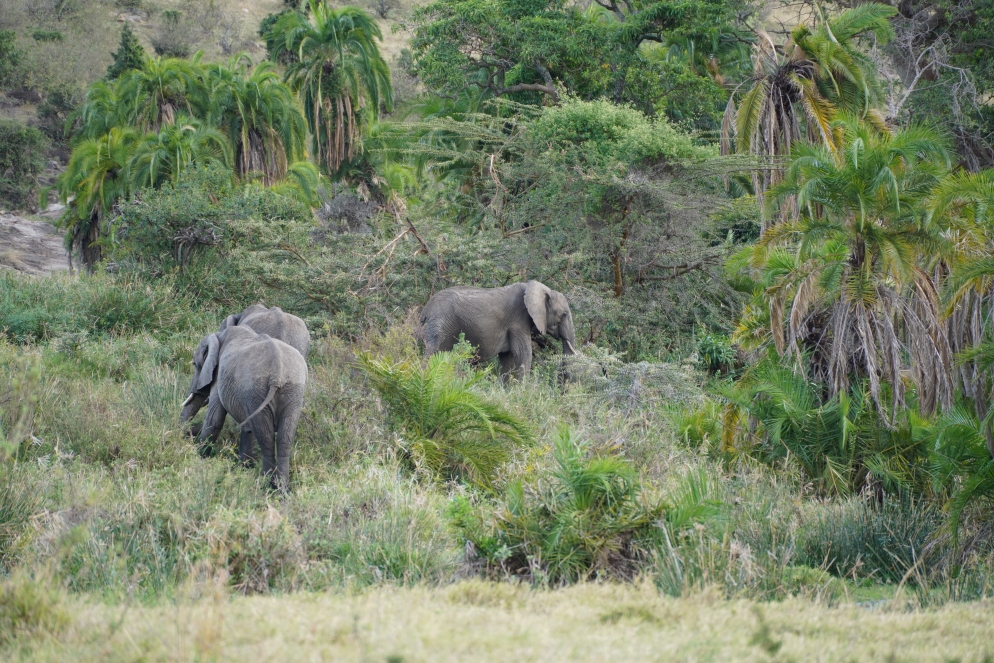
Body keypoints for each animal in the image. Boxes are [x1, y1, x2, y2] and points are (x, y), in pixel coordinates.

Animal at [181, 325, 307, 491]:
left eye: (195, 364)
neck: (219, 335)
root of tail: (278, 370)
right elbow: (248, 428)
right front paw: (243, 468)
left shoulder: (220, 375)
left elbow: (214, 420)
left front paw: (199, 458)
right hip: (292, 391)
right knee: (284, 438)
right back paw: (282, 490)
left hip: (257, 389)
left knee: (266, 438)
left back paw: (268, 487)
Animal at [419, 280, 576, 380]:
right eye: (564, 314)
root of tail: (425, 310)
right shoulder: (518, 320)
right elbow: (523, 354)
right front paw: (523, 392)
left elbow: (508, 358)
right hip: (442, 324)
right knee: (433, 352)